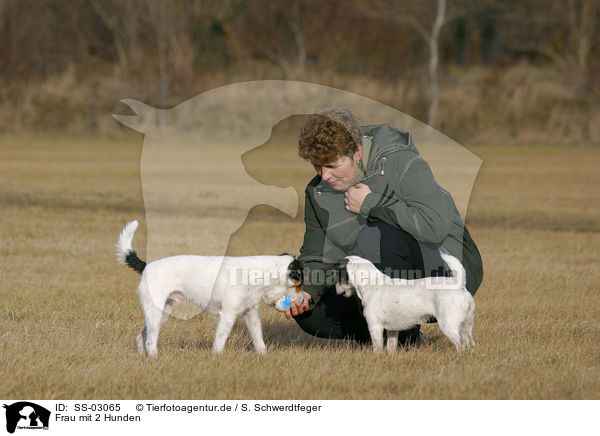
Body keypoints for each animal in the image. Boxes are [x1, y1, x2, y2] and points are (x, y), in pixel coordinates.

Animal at [117, 220, 304, 356]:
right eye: (300, 282)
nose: (303, 299)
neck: (255, 274)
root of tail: (146, 266)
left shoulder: (250, 314)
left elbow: (258, 338)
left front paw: (263, 355)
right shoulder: (228, 315)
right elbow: (220, 340)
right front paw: (217, 356)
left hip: (162, 312)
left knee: (142, 335)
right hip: (156, 312)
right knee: (150, 339)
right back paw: (154, 356)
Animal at [336, 254, 476, 352]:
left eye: (337, 274)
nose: (335, 289)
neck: (373, 283)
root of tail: (458, 285)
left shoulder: (375, 326)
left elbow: (377, 348)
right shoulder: (392, 331)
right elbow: (390, 348)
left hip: (448, 325)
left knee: (460, 344)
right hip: (467, 326)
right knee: (470, 343)